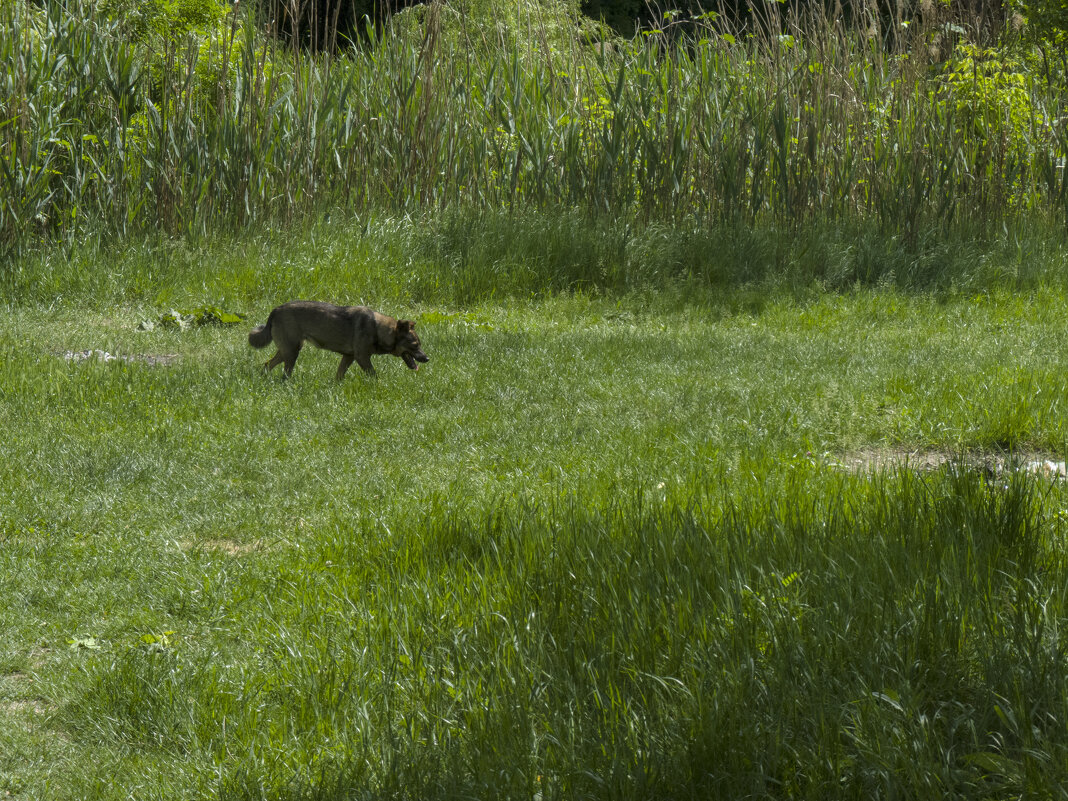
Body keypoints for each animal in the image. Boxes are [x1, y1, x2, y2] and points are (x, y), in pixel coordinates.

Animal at [247, 303, 427, 380]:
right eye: (415, 345)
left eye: (420, 344)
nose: (427, 358)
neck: (378, 328)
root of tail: (275, 310)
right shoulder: (362, 358)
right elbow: (374, 375)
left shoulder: (348, 357)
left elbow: (339, 376)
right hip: (292, 352)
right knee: (285, 374)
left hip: (287, 351)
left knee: (267, 364)